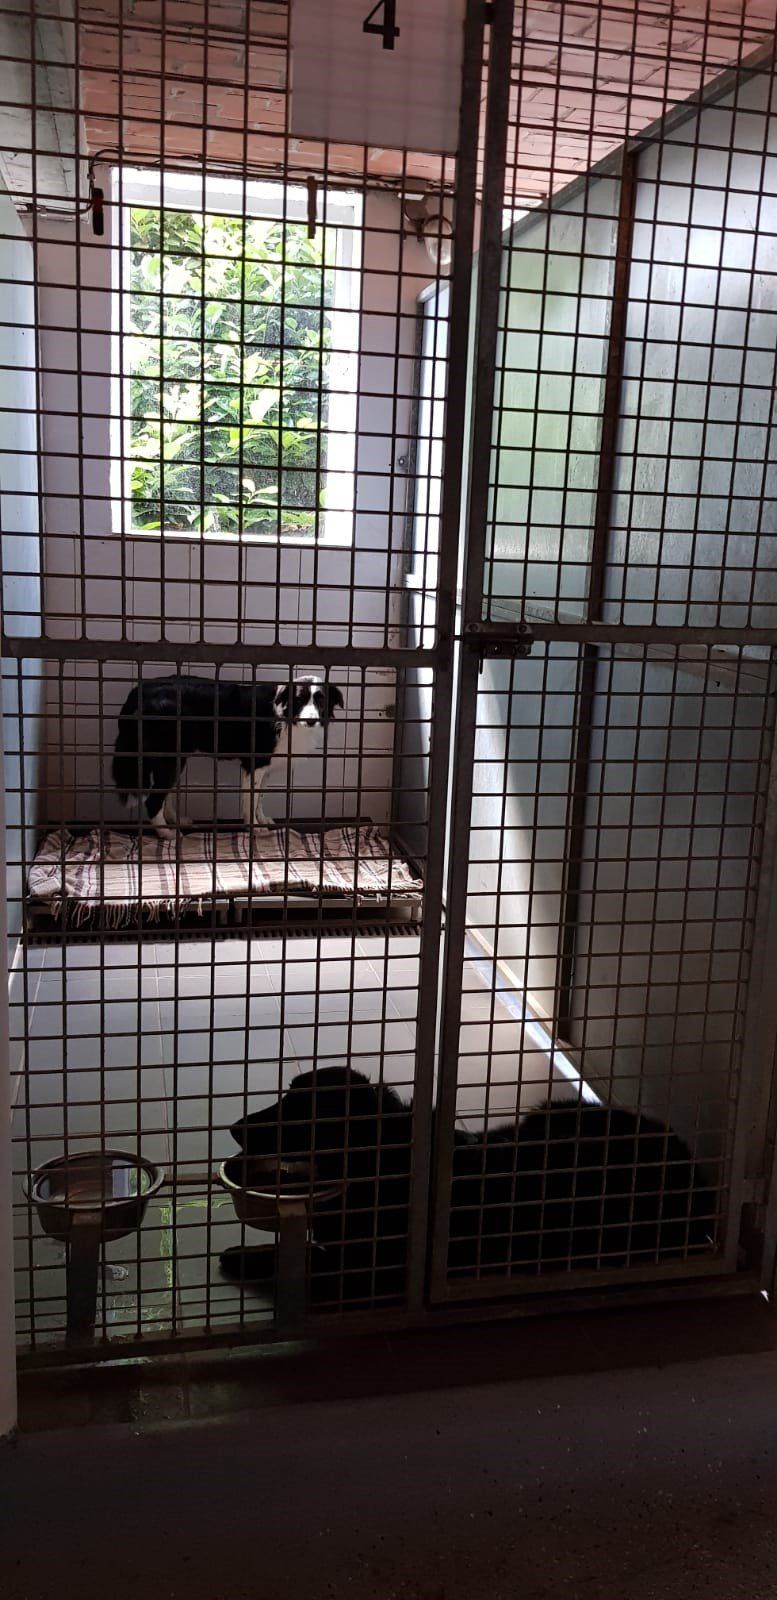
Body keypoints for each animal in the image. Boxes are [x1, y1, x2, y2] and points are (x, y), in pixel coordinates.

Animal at [112, 673, 344, 837]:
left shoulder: (266, 768)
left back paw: (175, 821)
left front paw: (261, 820)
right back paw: (167, 834)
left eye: (321, 702)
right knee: (153, 801)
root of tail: (139, 691)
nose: (311, 720)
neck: (285, 715)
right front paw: (254, 829)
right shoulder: (255, 764)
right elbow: (250, 801)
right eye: (299, 700)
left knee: (164, 795)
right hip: (169, 758)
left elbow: (259, 799)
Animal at [219, 1066, 715, 1304]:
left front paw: (243, 1257)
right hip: (546, 1112)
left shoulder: (373, 1276)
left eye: (296, 1109)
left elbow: (305, 1260)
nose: (234, 1127)